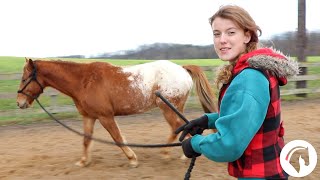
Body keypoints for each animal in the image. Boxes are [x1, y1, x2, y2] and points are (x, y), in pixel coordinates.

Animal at [17, 58, 218, 167]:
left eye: (25, 78)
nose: (19, 103)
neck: (84, 81)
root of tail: (182, 69)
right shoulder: (89, 116)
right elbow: (86, 139)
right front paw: (83, 161)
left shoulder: (105, 116)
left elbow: (117, 138)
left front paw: (132, 159)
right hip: (174, 108)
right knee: (181, 127)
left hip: (167, 108)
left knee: (181, 127)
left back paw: (174, 153)